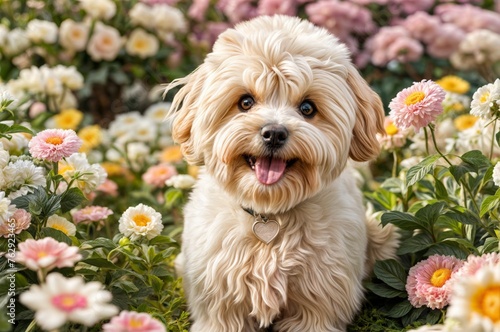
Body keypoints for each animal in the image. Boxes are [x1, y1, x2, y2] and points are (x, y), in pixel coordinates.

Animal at [167, 14, 398, 332]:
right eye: (245, 102)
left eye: (307, 108)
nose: (274, 133)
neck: (270, 213)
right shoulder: (220, 304)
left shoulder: (317, 306)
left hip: (382, 232)